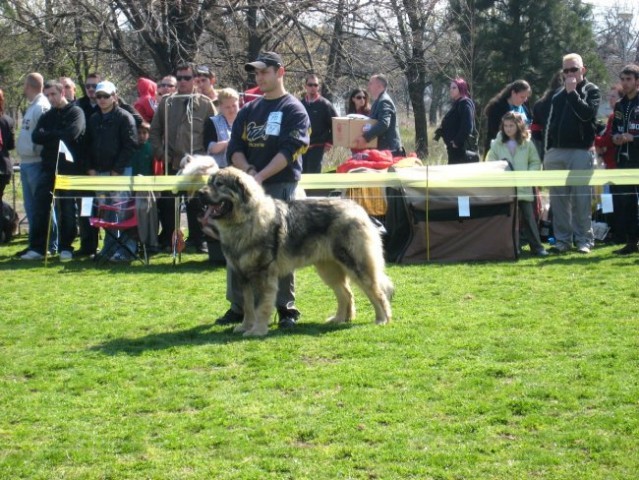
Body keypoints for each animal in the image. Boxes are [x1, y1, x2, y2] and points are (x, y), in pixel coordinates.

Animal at [199, 169, 396, 338]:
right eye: (208, 182)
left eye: (219, 184)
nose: (200, 193)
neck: (244, 221)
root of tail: (356, 208)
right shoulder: (243, 276)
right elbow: (247, 306)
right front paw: (245, 326)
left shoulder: (263, 276)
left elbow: (261, 306)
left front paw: (257, 331)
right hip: (328, 269)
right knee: (346, 294)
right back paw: (339, 319)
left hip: (356, 265)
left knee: (376, 292)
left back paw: (382, 319)